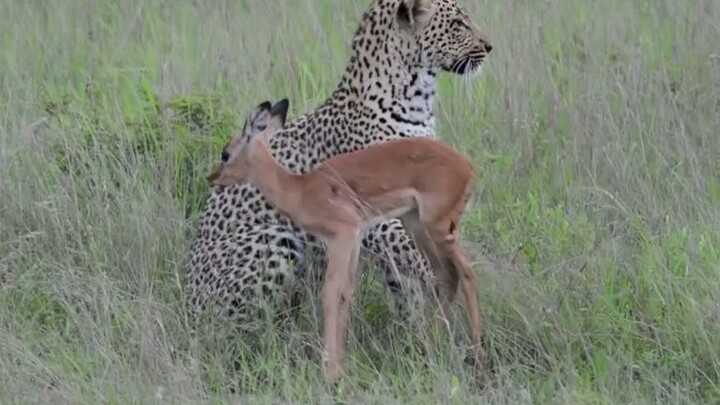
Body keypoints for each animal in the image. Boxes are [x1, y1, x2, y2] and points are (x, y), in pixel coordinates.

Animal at [184, 0, 493, 331]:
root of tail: (186, 300)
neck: (416, 98)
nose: (488, 46)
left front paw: (415, 328)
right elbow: (415, 258)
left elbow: (405, 279)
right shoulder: (374, 213)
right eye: (458, 24)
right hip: (274, 239)